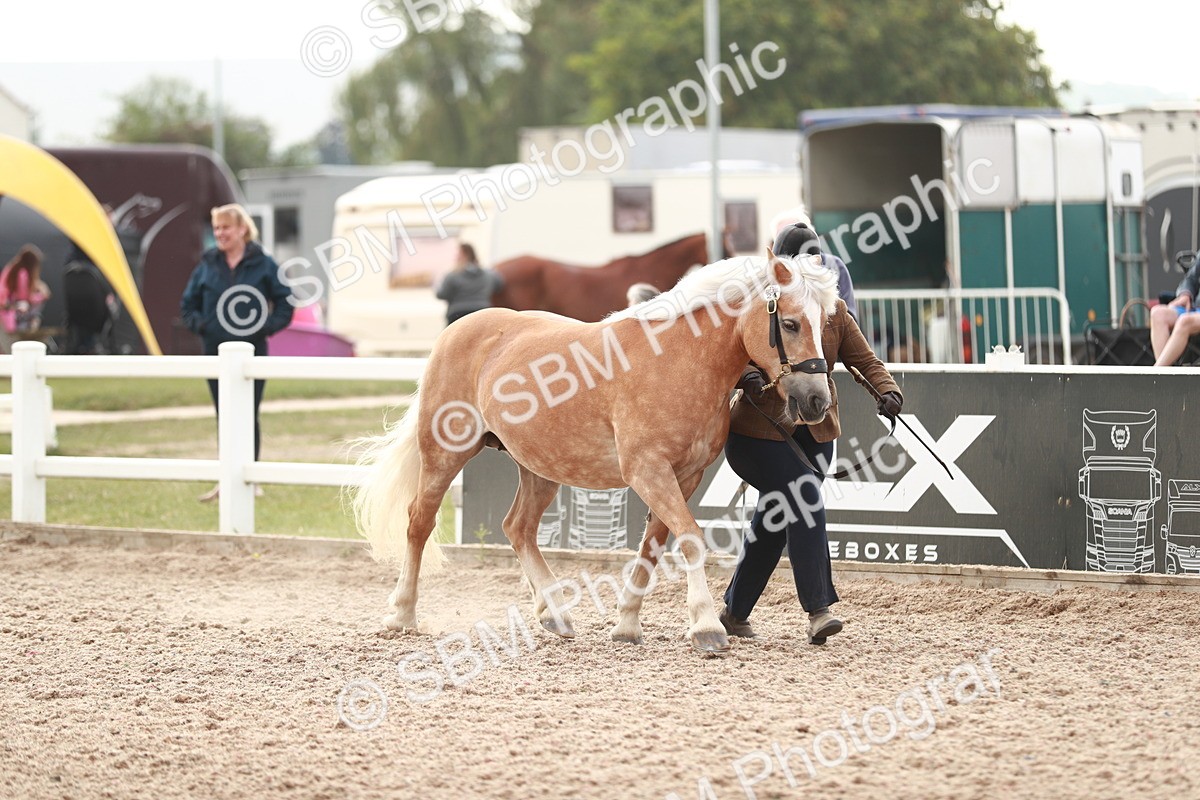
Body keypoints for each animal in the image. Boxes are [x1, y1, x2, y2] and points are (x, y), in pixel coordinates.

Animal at [353, 250, 839, 653]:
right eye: (791, 323)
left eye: (824, 323)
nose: (817, 401)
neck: (679, 360)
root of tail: (457, 330)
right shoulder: (648, 470)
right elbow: (689, 538)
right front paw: (705, 627)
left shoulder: (684, 476)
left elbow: (652, 546)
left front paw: (626, 625)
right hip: (444, 453)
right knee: (420, 522)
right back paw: (401, 614)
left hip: (540, 467)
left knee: (518, 528)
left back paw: (554, 614)